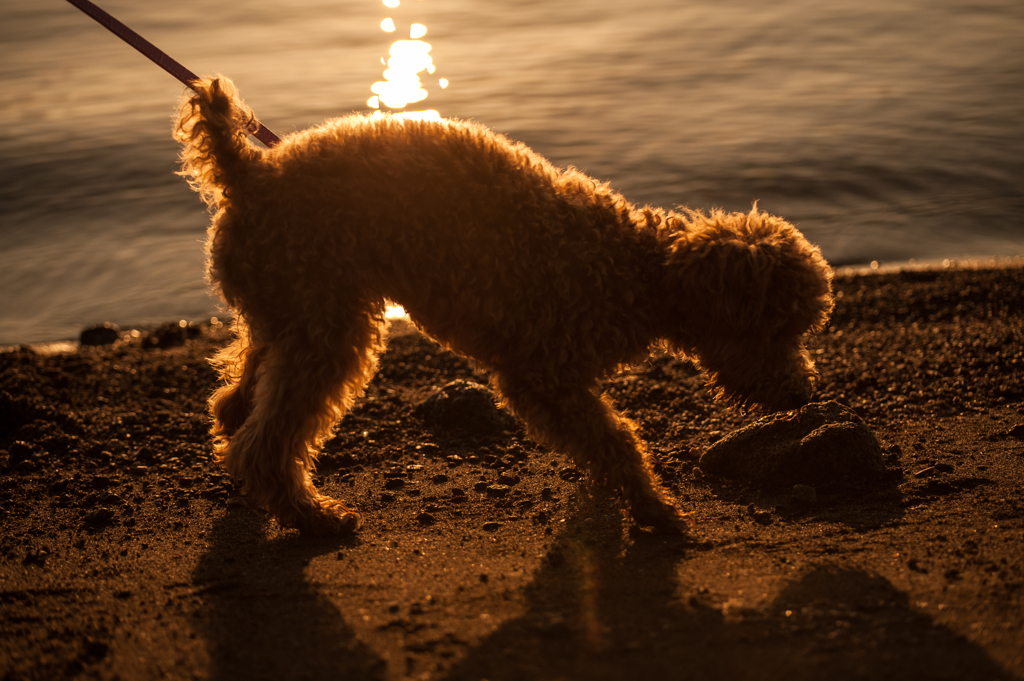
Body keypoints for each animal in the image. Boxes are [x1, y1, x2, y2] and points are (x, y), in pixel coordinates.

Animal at [174, 74, 831, 532]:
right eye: (776, 327)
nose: (805, 394)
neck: (638, 271)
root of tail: (248, 173)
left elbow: (601, 441)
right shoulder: (540, 374)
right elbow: (616, 439)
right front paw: (654, 509)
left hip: (289, 310)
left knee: (243, 388)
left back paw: (242, 431)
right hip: (327, 327)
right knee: (268, 442)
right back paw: (311, 516)